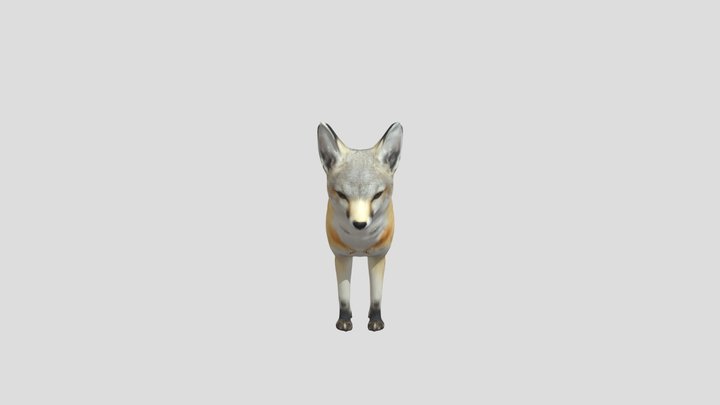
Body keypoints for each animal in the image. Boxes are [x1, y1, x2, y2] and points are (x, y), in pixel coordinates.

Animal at [317, 122, 403, 332]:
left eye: (377, 195)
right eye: (342, 195)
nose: (359, 224)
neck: (360, 243)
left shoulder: (378, 256)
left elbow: (376, 298)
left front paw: (375, 320)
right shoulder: (341, 256)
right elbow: (344, 297)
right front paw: (344, 320)